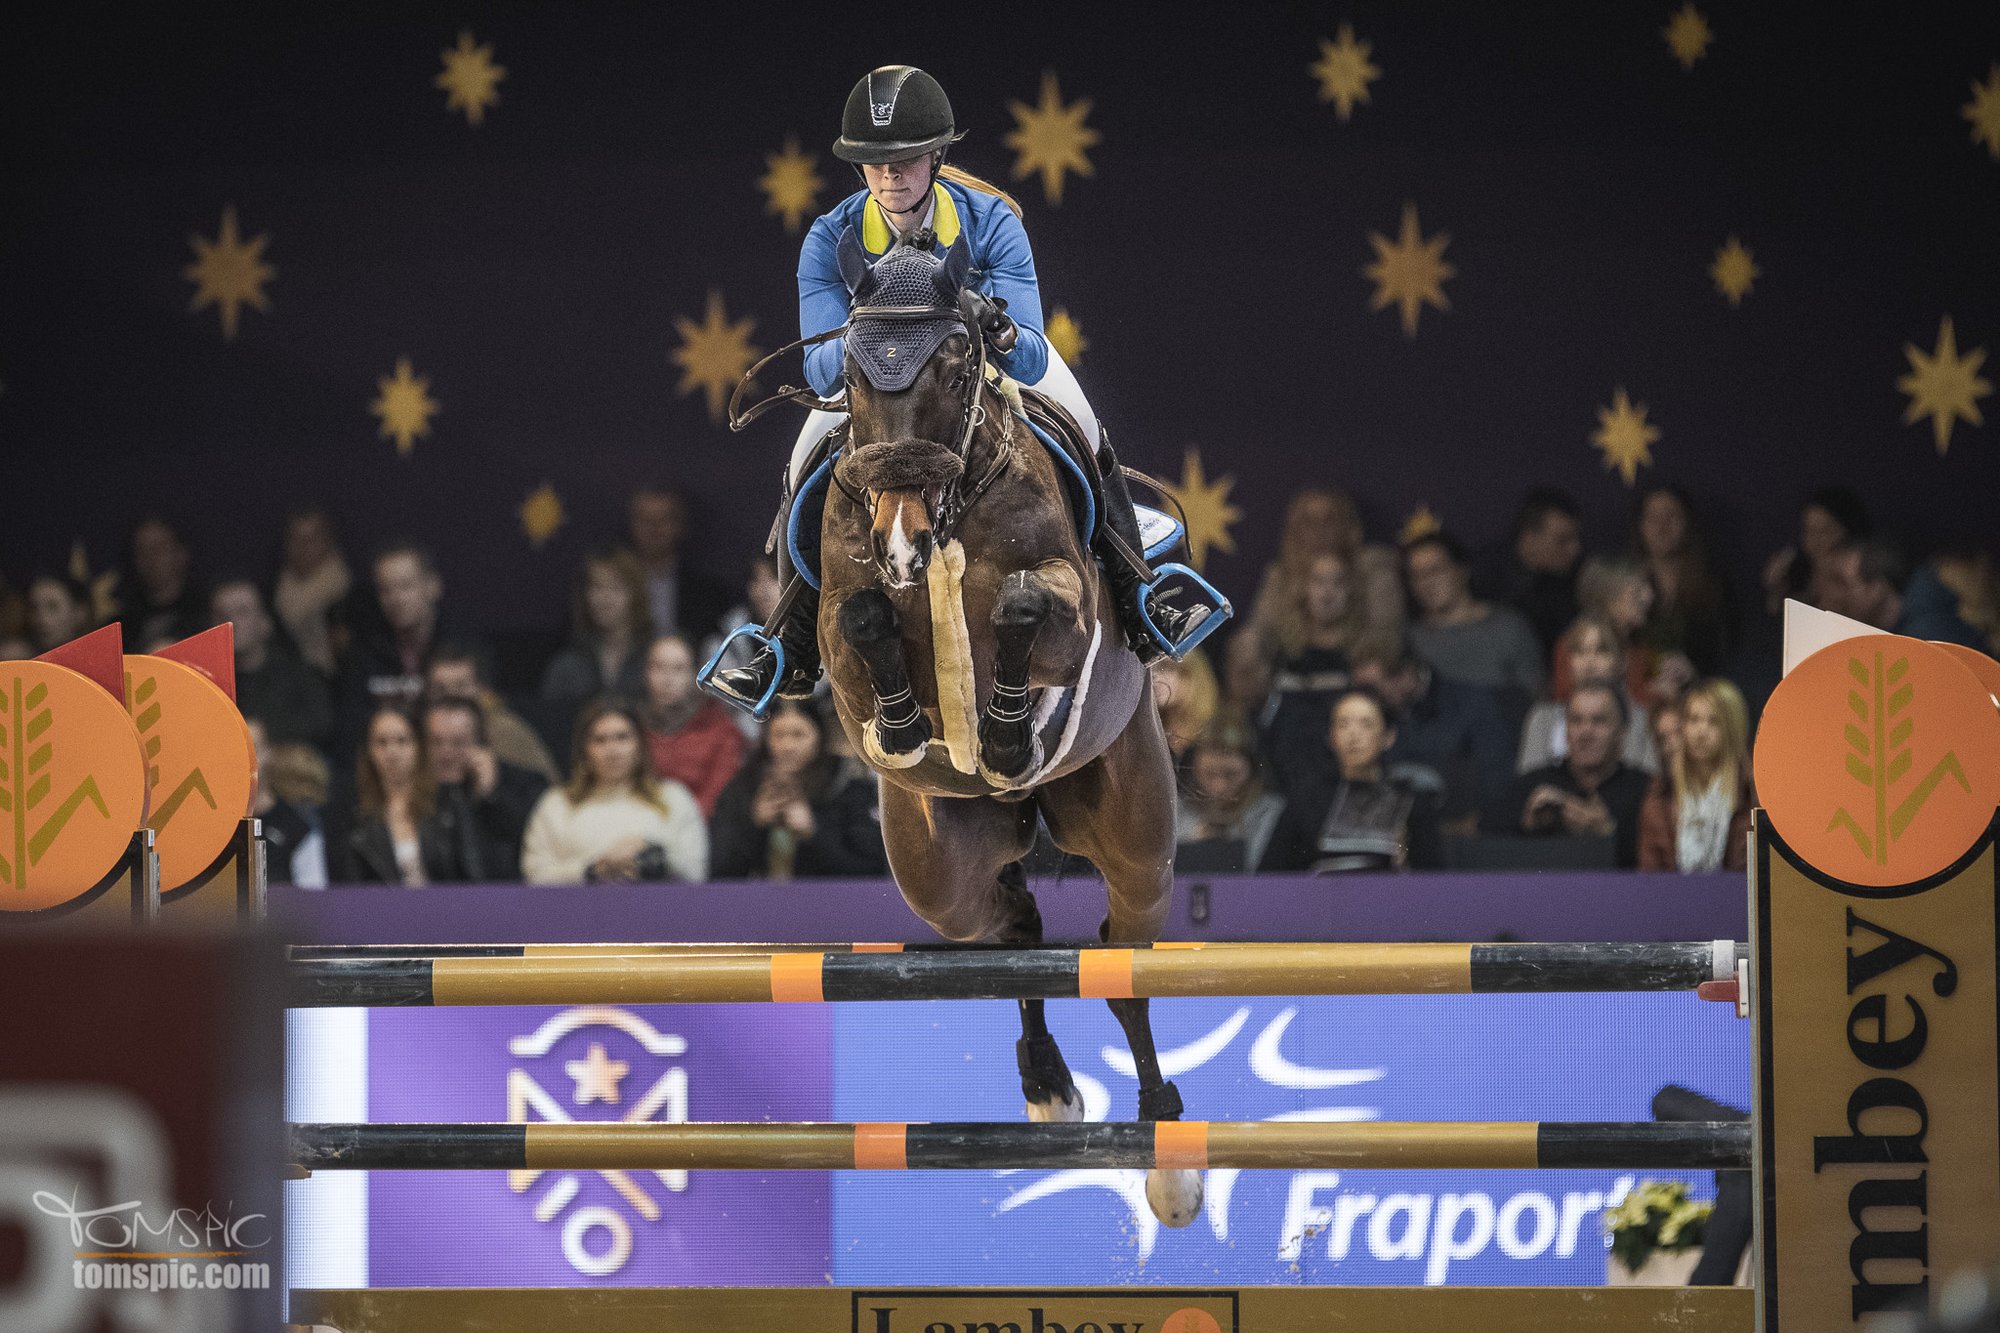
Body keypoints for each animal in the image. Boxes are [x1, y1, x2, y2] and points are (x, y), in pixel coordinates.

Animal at [774, 233, 1202, 1228]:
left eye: (959, 360)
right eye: (853, 373)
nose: (901, 540)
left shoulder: (1071, 611)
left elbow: (1023, 603)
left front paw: (1005, 734)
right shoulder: (842, 633)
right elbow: (860, 622)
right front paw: (905, 722)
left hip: (1133, 831)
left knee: (1119, 963)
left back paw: (1169, 1156)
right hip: (941, 868)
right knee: (1011, 931)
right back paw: (1047, 1087)